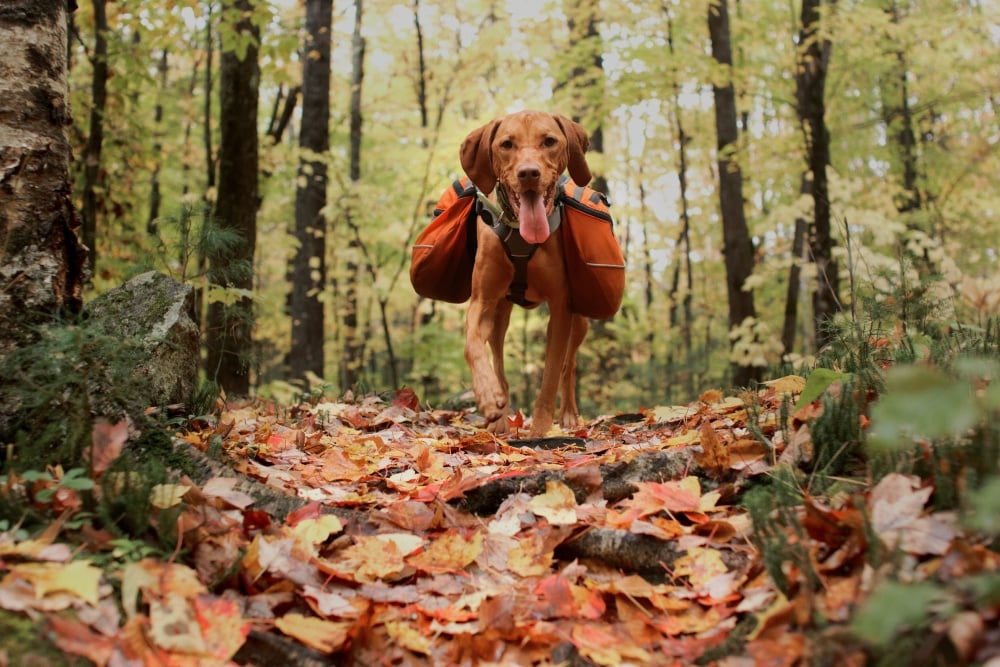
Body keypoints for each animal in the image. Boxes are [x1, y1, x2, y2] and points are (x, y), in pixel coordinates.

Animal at [460, 109, 592, 438]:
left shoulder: (561, 308)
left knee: (569, 364)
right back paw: (499, 415)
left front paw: (541, 429)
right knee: (497, 355)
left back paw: (568, 414)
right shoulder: (482, 301)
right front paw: (486, 394)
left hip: (581, 320)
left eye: (549, 141)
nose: (529, 173)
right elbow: (472, 345)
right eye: (507, 144)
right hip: (500, 314)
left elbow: (551, 374)